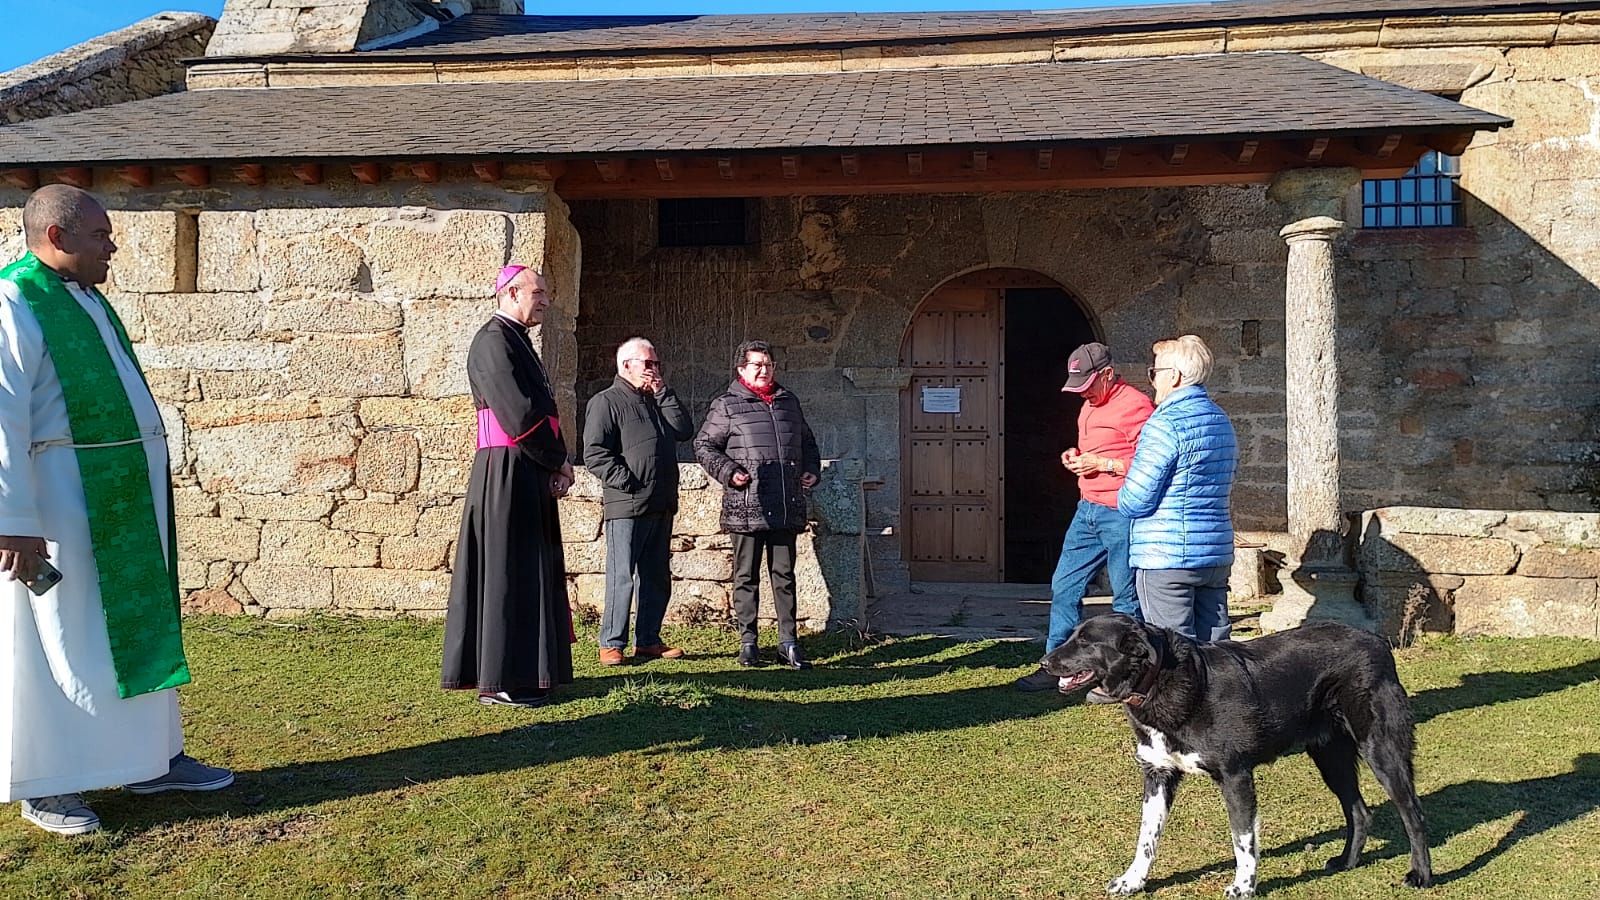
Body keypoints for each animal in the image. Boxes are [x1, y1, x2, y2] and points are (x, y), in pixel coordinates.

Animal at [1043, 611, 1433, 890]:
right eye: (1074, 636)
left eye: (1086, 642)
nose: (1045, 662)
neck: (1160, 682)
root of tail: (1378, 642)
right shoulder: (1158, 774)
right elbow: (1147, 837)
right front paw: (1132, 881)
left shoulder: (1235, 776)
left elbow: (1242, 839)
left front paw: (1243, 887)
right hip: (1330, 756)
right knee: (1359, 812)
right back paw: (1347, 861)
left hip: (1381, 748)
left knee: (1413, 813)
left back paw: (1421, 875)